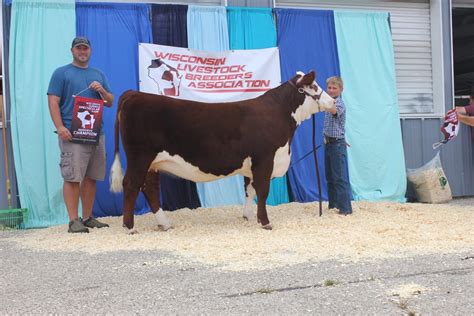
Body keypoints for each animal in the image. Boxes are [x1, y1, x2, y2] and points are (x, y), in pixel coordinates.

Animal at [110, 72, 334, 235]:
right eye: (314, 86)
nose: (332, 102)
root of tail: (134, 93)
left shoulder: (251, 164)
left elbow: (250, 190)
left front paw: (248, 216)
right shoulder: (264, 159)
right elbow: (262, 191)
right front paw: (265, 222)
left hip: (152, 163)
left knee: (149, 189)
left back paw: (164, 224)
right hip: (140, 156)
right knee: (131, 185)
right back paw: (129, 227)